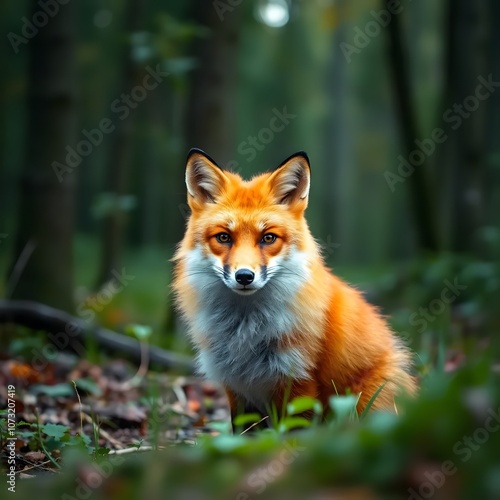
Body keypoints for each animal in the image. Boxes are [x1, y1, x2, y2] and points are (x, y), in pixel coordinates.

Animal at [174, 148, 416, 422]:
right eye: (224, 237)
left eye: (268, 238)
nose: (244, 276)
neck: (244, 330)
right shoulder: (235, 385)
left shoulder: (298, 380)